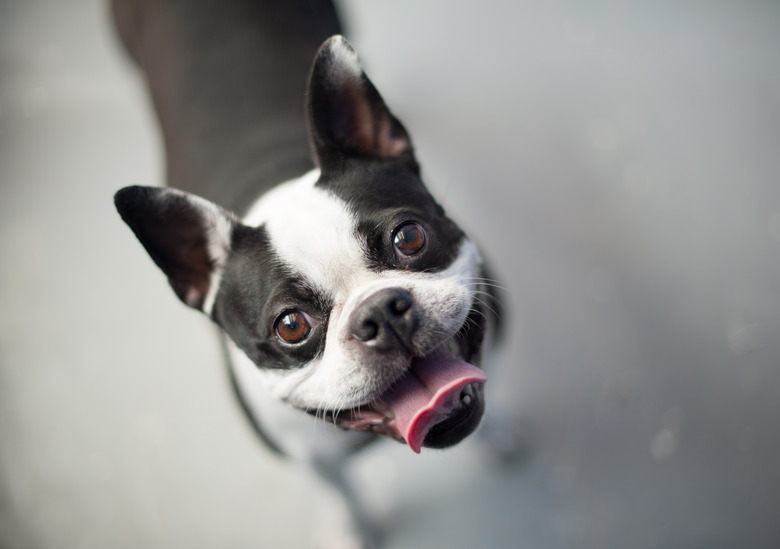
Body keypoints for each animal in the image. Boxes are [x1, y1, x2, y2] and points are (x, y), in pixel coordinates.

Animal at [112, 0, 502, 544]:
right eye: (292, 325)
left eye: (410, 238)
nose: (381, 312)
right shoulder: (311, 459)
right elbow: (340, 491)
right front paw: (351, 530)